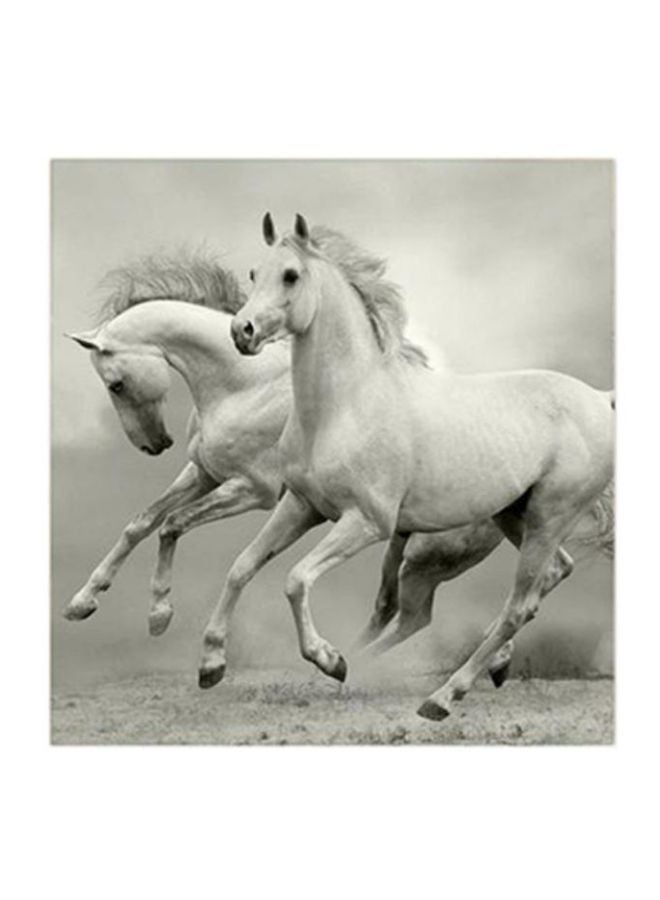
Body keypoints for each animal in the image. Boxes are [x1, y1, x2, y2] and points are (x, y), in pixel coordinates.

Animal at [62, 252, 512, 677]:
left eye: (115, 385)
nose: (154, 445)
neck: (243, 384)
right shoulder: (204, 474)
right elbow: (141, 523)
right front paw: (83, 602)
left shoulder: (252, 490)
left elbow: (173, 525)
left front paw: (160, 616)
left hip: (427, 553)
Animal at [202, 213, 614, 721]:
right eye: (254, 273)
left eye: (291, 275)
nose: (242, 331)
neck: (345, 405)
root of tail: (599, 398)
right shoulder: (301, 506)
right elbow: (242, 567)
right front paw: (211, 665)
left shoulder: (366, 523)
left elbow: (296, 579)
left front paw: (329, 659)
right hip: (515, 516)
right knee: (551, 576)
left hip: (546, 518)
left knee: (516, 606)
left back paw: (442, 697)